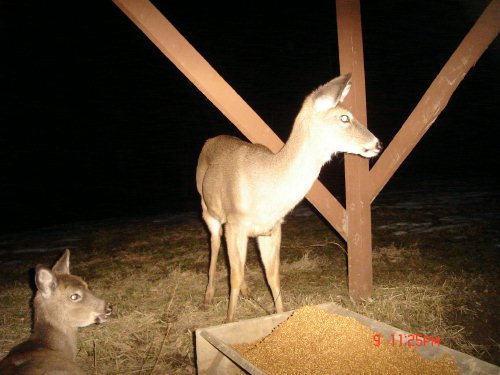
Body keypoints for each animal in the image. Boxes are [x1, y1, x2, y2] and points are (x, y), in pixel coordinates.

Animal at [196, 74, 382, 324]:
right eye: (344, 117)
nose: (377, 143)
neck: (269, 190)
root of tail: (210, 139)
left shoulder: (272, 228)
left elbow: (272, 275)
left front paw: (280, 315)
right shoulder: (236, 222)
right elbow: (234, 276)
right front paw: (228, 321)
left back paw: (247, 292)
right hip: (208, 210)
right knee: (215, 245)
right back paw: (207, 297)